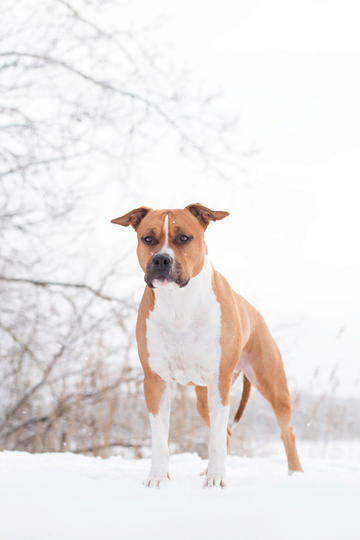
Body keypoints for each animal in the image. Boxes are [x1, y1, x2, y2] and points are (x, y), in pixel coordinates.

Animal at [112, 204, 304, 490]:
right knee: (225, 432)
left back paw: (295, 473)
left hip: (271, 384)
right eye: (147, 238)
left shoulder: (219, 381)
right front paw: (157, 477)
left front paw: (215, 478)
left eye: (184, 237)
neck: (178, 304)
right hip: (204, 399)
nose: (161, 260)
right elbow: (160, 437)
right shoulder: (155, 381)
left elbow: (214, 439)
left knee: (286, 431)